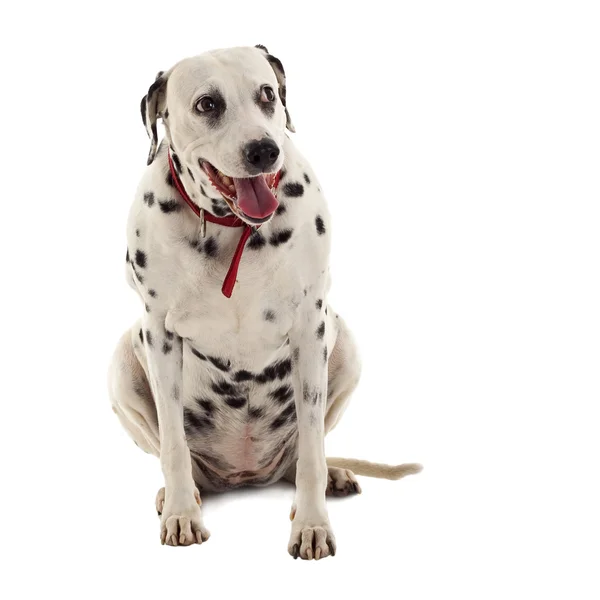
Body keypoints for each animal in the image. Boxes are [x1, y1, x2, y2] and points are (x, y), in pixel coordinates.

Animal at [108, 44, 420, 560]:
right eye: (207, 104)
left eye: (267, 94)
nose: (264, 150)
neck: (232, 228)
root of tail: (247, 474)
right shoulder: (158, 334)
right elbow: (173, 445)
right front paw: (181, 513)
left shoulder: (312, 328)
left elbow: (312, 448)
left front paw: (312, 524)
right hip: (123, 364)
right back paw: (178, 494)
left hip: (345, 346)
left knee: (304, 456)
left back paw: (331, 475)